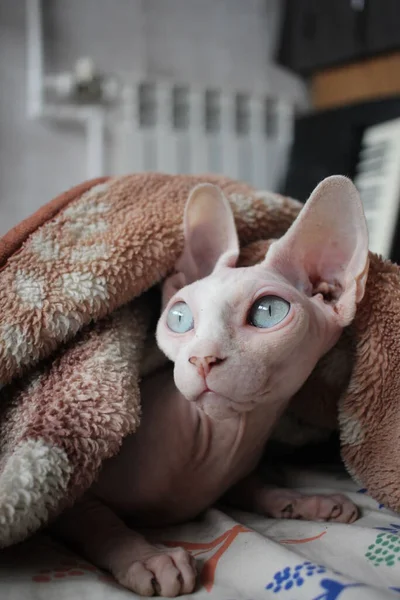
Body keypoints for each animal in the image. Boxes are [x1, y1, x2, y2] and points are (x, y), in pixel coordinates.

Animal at [54, 175, 368, 596]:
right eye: (179, 317)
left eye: (269, 312)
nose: (203, 358)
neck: (221, 443)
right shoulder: (72, 495)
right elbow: (100, 521)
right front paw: (147, 557)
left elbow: (256, 486)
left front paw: (305, 501)